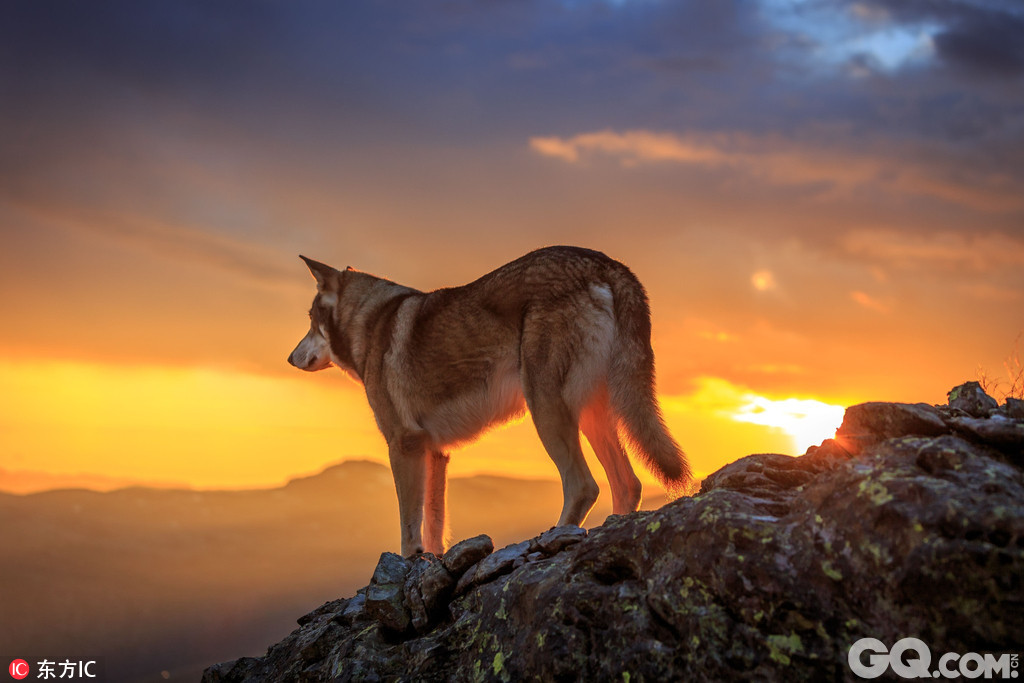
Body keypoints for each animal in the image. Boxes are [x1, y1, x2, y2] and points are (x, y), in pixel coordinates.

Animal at [288, 245, 688, 557]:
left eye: (309, 319)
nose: (290, 359)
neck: (369, 324)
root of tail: (607, 263)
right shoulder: (435, 452)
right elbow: (434, 525)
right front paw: (431, 561)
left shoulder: (404, 445)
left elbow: (408, 527)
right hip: (592, 416)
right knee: (628, 484)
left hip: (546, 410)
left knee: (584, 485)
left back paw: (548, 540)